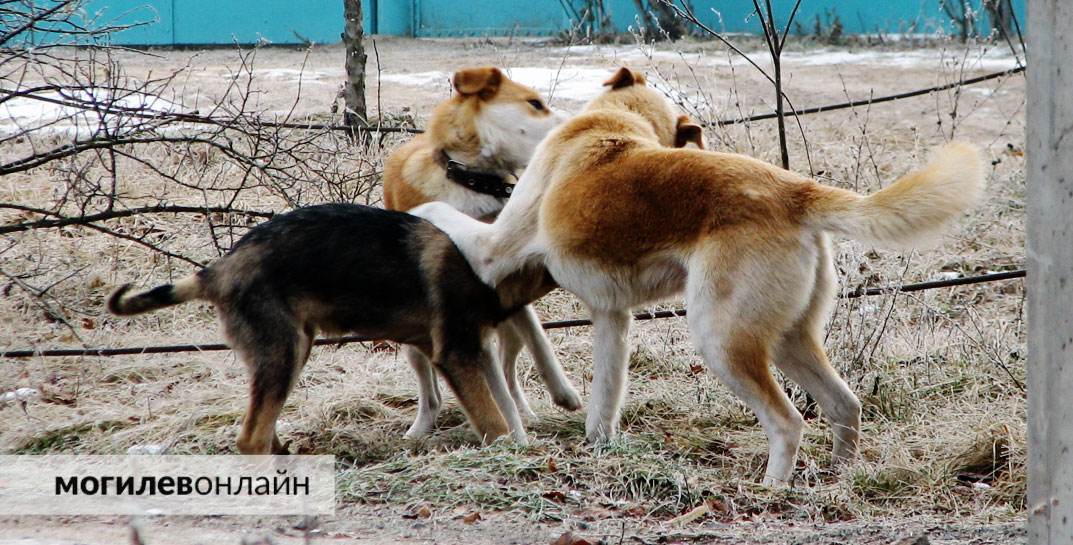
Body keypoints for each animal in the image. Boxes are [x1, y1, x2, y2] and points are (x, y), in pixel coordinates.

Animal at [109, 202, 562, 452]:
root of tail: (221, 267)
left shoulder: (476, 351)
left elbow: (507, 410)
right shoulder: (456, 354)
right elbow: (495, 421)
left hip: (290, 352)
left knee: (263, 425)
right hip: (284, 353)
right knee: (251, 437)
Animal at [386, 67, 583, 437]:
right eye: (535, 104)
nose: (576, 124)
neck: (473, 181)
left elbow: (539, 341)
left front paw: (563, 392)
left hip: (508, 332)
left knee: (509, 372)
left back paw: (525, 412)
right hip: (413, 344)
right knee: (430, 388)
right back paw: (420, 428)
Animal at [412, 68, 987, 484]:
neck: (616, 123)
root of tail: (796, 191)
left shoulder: (493, 250)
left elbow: (439, 213)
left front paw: (413, 211)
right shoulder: (612, 318)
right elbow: (604, 400)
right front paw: (599, 450)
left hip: (721, 340)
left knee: (788, 422)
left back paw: (770, 491)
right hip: (787, 339)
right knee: (844, 405)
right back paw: (838, 478)